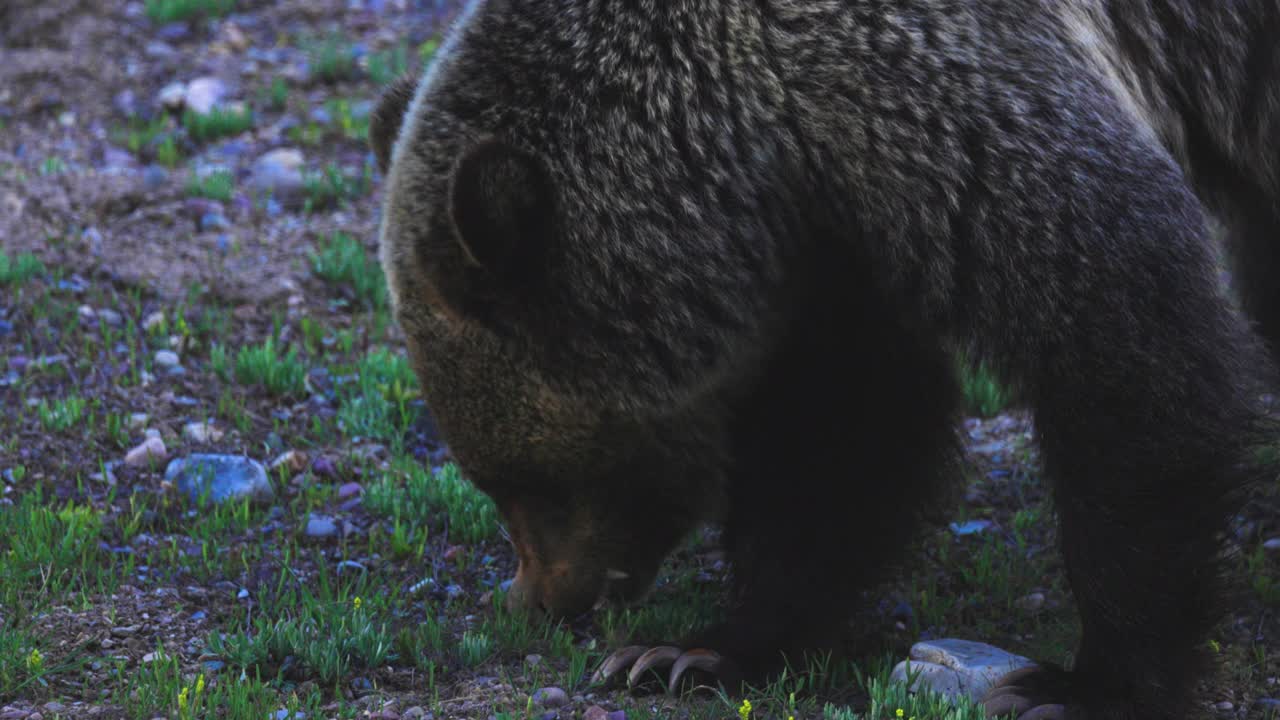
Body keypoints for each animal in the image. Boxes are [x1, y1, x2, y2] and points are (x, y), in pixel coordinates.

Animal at [366, 2, 1274, 712]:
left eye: (530, 483)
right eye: (494, 482)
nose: (543, 596)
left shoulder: (951, 113)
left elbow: (1125, 351)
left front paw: (1086, 683)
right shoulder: (838, 225)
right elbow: (838, 437)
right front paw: (693, 650)